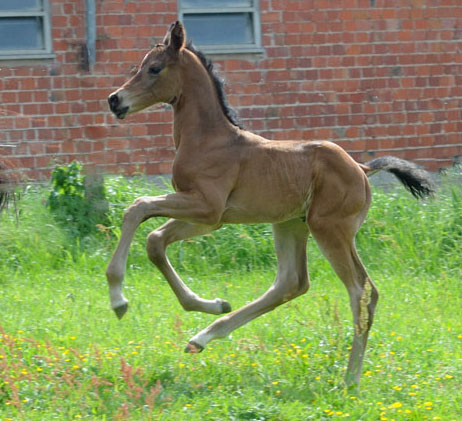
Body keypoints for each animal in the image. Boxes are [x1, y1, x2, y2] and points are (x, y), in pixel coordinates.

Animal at [106, 21, 434, 386]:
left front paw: (119, 299)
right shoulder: (210, 218)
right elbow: (154, 240)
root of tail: (361, 169)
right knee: (292, 282)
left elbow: (137, 207)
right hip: (290, 223)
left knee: (362, 290)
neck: (209, 139)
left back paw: (350, 379)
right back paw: (204, 336)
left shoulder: (206, 206)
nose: (115, 100)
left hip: (330, 229)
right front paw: (212, 303)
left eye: (154, 68)